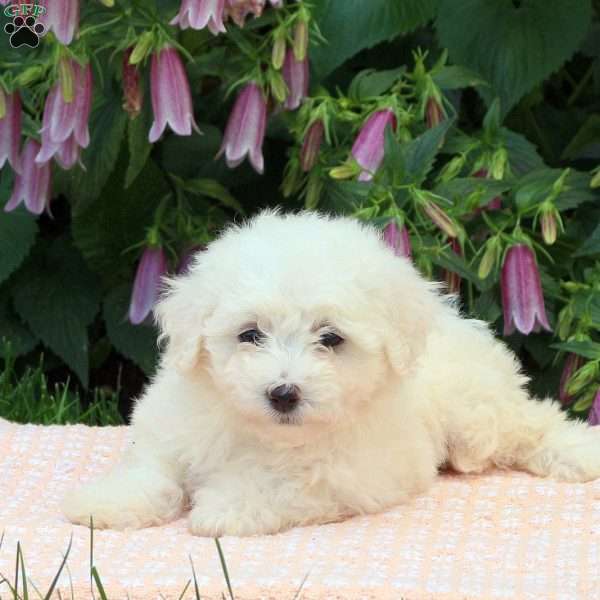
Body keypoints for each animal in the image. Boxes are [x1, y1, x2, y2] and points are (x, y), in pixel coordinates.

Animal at [62, 210, 600, 536]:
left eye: (331, 339)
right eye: (250, 334)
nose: (283, 393)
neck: (262, 432)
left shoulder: (343, 474)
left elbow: (276, 484)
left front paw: (224, 508)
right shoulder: (173, 431)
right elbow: (153, 471)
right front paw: (105, 502)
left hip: (475, 412)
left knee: (530, 425)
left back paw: (577, 451)